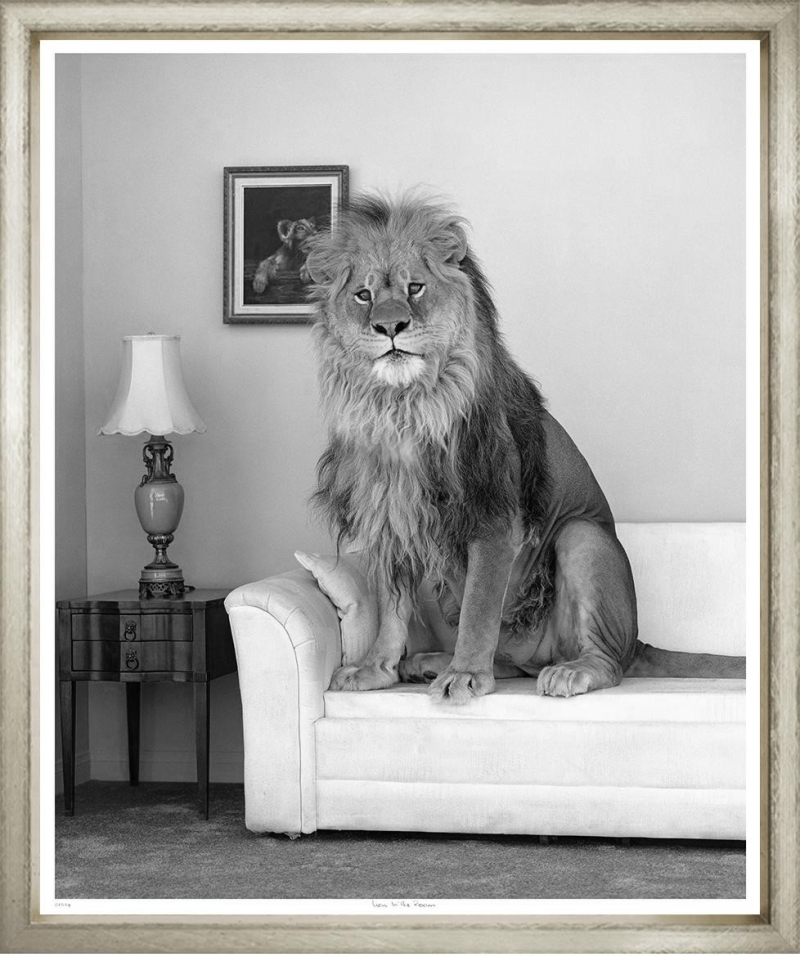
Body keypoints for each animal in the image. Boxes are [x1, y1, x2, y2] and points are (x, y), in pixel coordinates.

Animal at [304, 192, 745, 703]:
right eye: (363, 295)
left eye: (415, 288)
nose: (389, 326)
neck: (405, 407)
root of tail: (639, 641)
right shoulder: (394, 515)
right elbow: (391, 609)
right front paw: (376, 669)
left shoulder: (495, 515)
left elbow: (479, 608)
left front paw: (464, 676)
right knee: (510, 664)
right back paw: (428, 663)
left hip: (582, 537)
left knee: (607, 663)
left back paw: (566, 672)